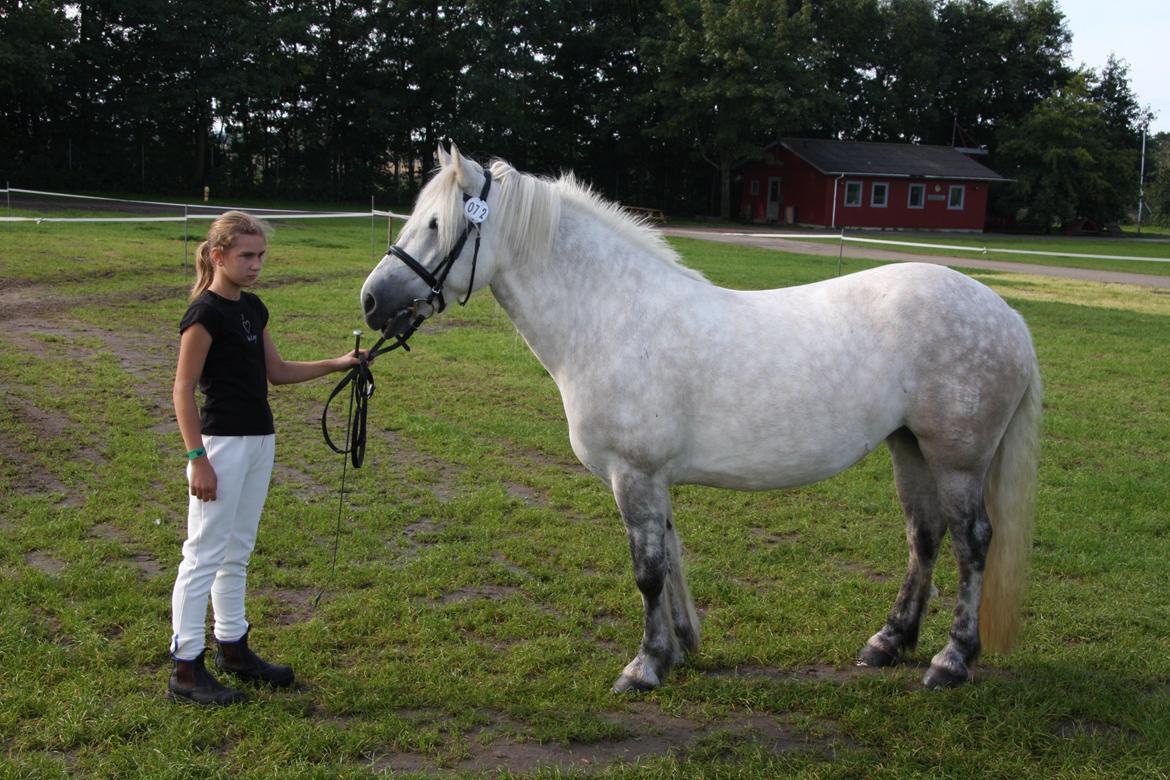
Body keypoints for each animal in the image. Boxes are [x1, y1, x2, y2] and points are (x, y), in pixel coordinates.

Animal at [361, 144, 1042, 692]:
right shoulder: (651, 479)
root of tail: (1006, 313)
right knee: (924, 538)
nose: (371, 300)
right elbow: (669, 559)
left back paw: (952, 660)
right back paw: (888, 642)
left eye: (436, 224)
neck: (611, 316)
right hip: (910, 448)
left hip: (957, 459)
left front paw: (644, 667)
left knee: (971, 543)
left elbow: (647, 571)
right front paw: (679, 647)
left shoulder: (633, 475)